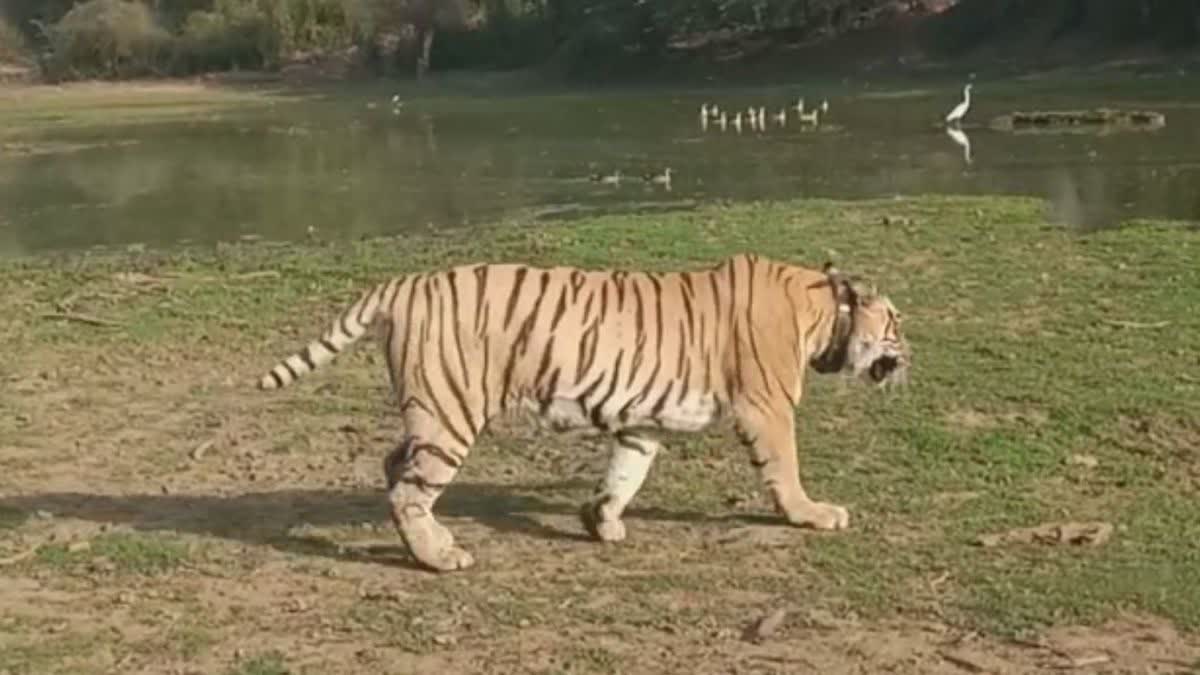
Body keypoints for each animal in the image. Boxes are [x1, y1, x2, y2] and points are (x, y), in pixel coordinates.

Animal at [255, 251, 907, 566]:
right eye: (896, 323)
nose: (910, 354)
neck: (823, 313)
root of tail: (407, 282)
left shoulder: (642, 421)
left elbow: (625, 472)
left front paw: (601, 520)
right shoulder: (768, 408)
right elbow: (785, 470)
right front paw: (813, 514)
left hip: (431, 410)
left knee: (395, 468)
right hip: (449, 413)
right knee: (409, 491)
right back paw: (440, 557)